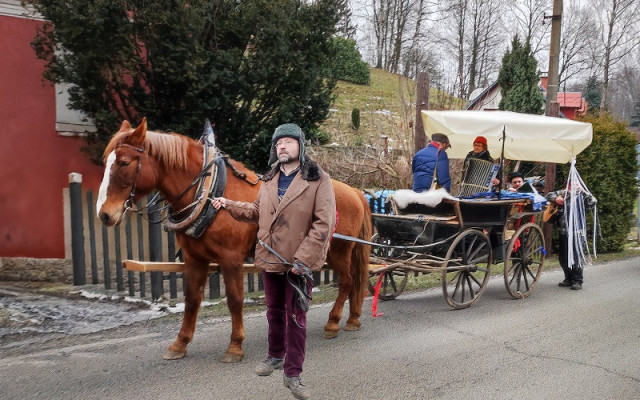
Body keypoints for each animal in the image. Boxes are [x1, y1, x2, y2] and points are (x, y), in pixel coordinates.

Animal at [97, 119, 372, 362]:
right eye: (105, 161)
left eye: (124, 162)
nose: (104, 214)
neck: (207, 192)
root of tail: (354, 191)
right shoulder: (195, 259)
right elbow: (191, 300)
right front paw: (180, 343)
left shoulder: (231, 259)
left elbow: (235, 300)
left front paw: (235, 346)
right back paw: (352, 318)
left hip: (338, 251)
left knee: (347, 281)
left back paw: (333, 322)